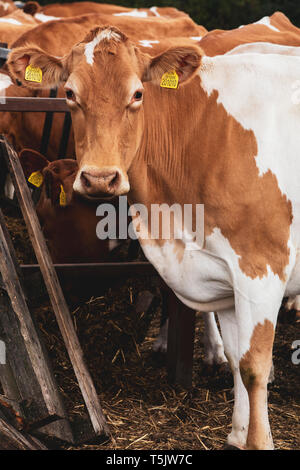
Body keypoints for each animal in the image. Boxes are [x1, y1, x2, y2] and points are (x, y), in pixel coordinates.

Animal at [8, 24, 300, 448]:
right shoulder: (221, 272)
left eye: (137, 94)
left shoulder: (261, 267)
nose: (100, 178)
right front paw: (237, 434)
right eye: (70, 94)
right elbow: (234, 358)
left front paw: (258, 439)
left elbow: (252, 368)